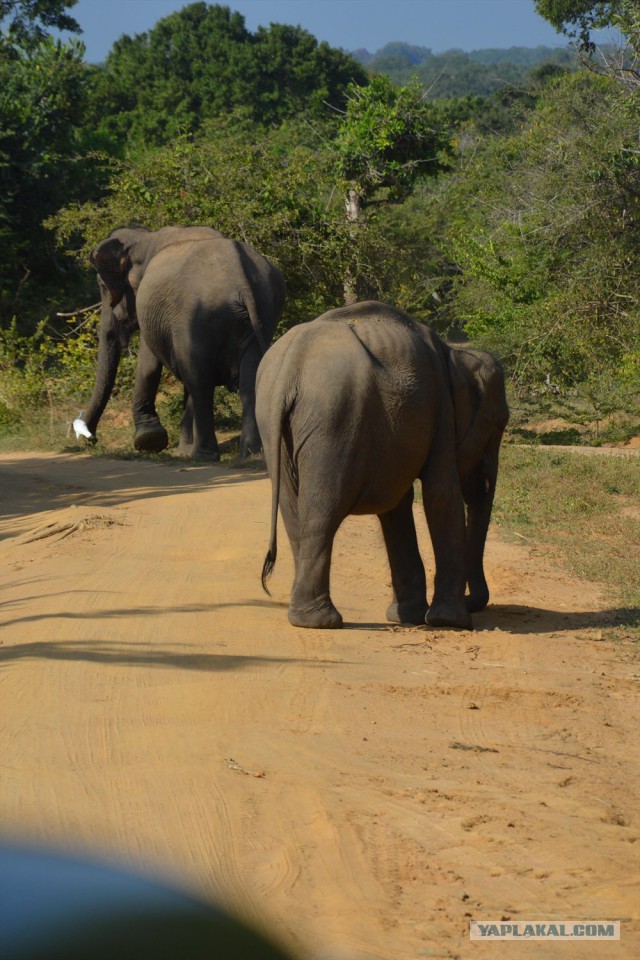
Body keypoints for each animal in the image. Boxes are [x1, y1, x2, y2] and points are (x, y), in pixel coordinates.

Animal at [75, 229, 284, 462]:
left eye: (104, 287)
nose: (90, 439)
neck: (142, 237)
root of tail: (243, 280)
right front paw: (178, 450)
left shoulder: (150, 311)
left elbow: (148, 364)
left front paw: (149, 440)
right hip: (262, 311)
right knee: (247, 379)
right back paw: (250, 455)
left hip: (198, 315)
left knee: (199, 380)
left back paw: (202, 456)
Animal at [255, 300, 510, 632]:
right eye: (500, 424)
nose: (472, 603)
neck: (454, 354)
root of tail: (291, 364)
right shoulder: (442, 408)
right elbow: (441, 495)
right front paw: (449, 621)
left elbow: (397, 506)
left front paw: (409, 617)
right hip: (335, 422)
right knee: (322, 511)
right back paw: (321, 621)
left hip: (275, 426)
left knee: (292, 510)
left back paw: (307, 618)